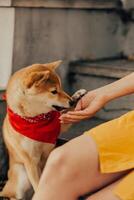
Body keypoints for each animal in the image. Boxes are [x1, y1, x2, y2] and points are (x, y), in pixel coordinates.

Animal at [0, 61, 86, 200]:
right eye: (54, 91)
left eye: (61, 88)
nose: (71, 101)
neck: (35, 120)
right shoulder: (31, 161)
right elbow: (38, 185)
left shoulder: (60, 123)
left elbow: (67, 113)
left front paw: (78, 95)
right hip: (21, 176)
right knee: (13, 195)